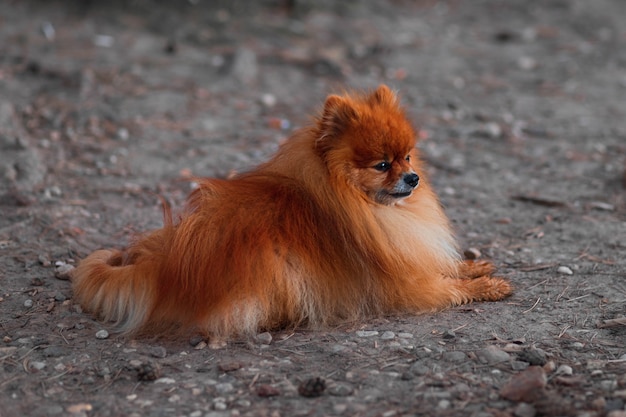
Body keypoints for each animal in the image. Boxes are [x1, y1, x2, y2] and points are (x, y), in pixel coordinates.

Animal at [72, 85, 512, 342]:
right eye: (382, 165)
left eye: (407, 156)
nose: (414, 177)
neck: (370, 209)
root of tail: (170, 268)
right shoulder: (402, 283)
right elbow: (447, 287)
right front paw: (486, 286)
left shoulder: (409, 252)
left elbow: (446, 265)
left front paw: (474, 265)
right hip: (275, 264)